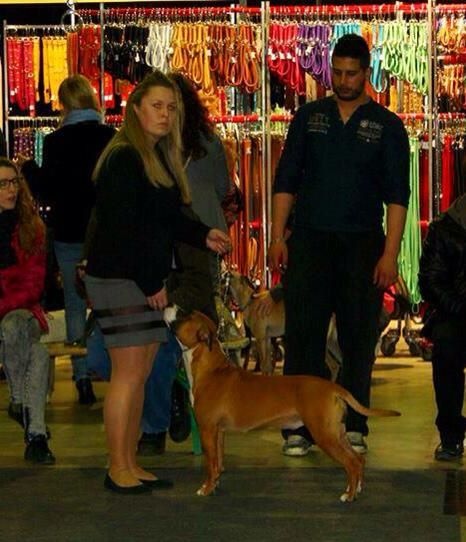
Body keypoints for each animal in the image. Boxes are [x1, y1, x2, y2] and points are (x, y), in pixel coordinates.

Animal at [165, 307, 400, 503]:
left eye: (184, 315)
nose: (170, 305)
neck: (211, 370)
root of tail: (333, 387)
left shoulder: (206, 430)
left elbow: (209, 464)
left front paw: (205, 489)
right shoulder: (218, 432)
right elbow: (217, 463)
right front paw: (214, 485)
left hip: (324, 435)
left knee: (351, 463)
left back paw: (349, 495)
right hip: (336, 433)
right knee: (358, 460)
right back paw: (357, 489)